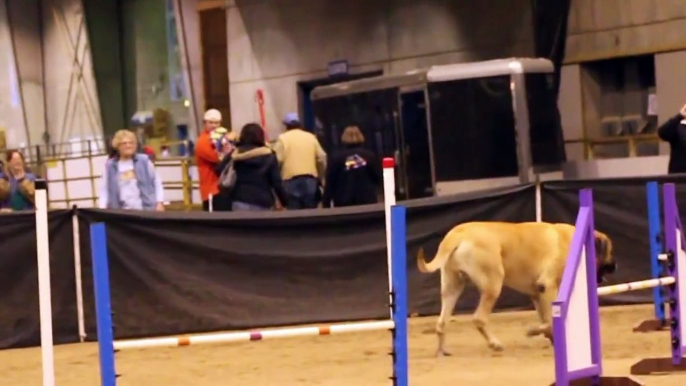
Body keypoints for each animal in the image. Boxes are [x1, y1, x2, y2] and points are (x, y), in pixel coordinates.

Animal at [420, 222, 620, 354]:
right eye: (611, 250)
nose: (615, 266)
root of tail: (458, 233)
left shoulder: (538, 294)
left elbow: (546, 319)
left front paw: (549, 336)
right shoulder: (548, 287)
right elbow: (549, 320)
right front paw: (534, 331)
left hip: (452, 288)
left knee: (441, 323)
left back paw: (442, 350)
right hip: (493, 284)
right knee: (479, 319)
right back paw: (495, 344)